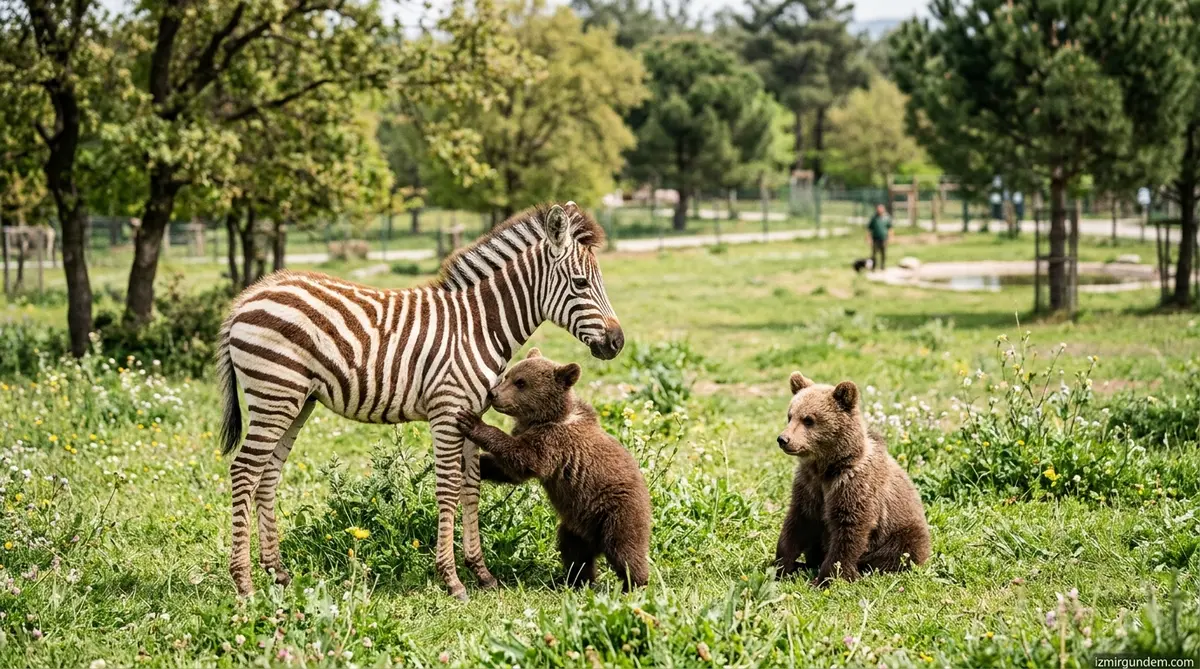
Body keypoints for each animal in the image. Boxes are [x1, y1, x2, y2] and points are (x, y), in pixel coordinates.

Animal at [216, 202, 624, 599]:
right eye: (581, 283)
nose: (617, 342)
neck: (478, 326)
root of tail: (249, 295)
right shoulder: (446, 409)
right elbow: (448, 488)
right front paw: (451, 579)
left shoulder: (470, 414)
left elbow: (470, 487)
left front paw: (481, 573)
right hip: (275, 392)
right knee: (244, 472)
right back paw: (244, 584)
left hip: (298, 401)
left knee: (268, 475)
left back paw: (278, 574)